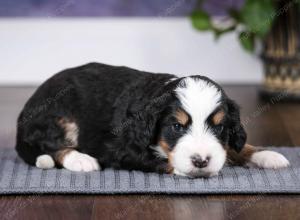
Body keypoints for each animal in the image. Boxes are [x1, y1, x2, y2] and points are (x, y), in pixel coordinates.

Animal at [15, 62, 290, 178]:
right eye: (177, 126)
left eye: (219, 126)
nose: (201, 161)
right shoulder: (120, 149)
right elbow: (162, 160)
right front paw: (188, 168)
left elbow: (234, 147)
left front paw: (266, 154)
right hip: (59, 117)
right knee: (51, 145)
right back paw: (80, 160)